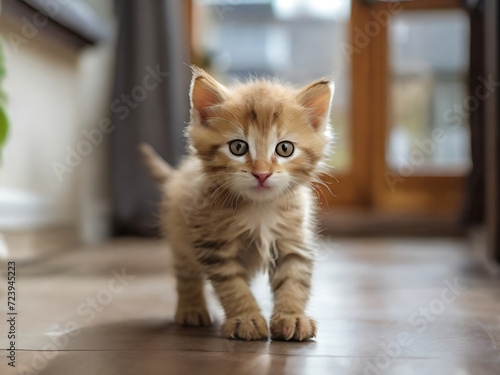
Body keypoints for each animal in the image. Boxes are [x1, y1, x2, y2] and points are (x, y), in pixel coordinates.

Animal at [139, 66, 334, 342]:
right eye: (238, 147)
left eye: (285, 148)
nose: (262, 174)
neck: (258, 207)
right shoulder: (214, 243)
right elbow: (233, 285)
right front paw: (247, 318)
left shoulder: (293, 240)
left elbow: (294, 281)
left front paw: (291, 317)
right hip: (180, 234)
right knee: (186, 273)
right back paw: (191, 308)